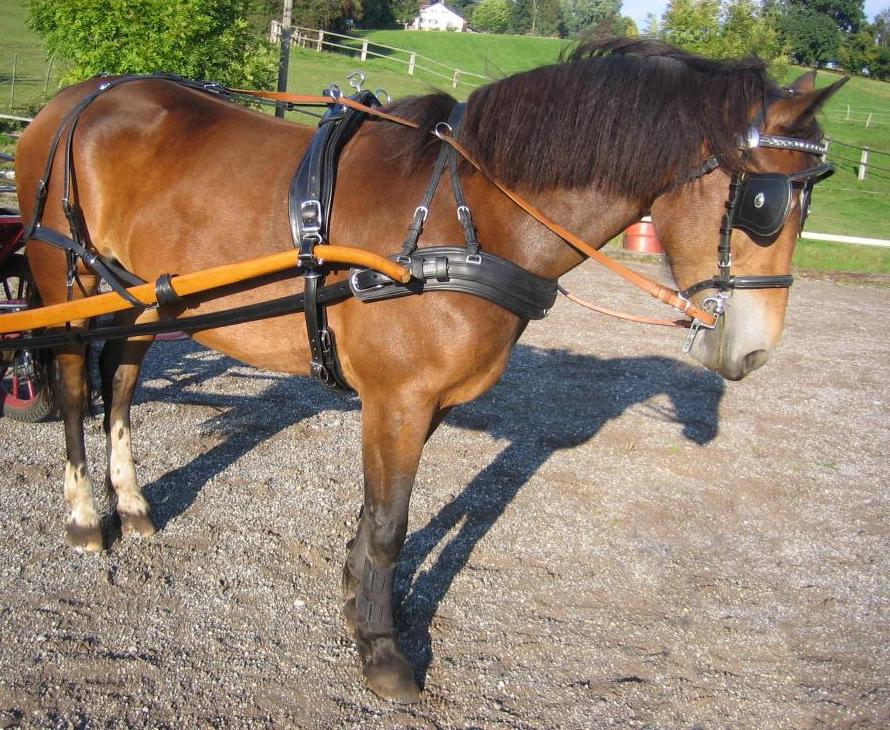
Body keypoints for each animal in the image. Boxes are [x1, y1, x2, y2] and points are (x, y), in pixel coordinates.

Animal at [15, 39, 845, 702]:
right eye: (765, 201)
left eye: (810, 201)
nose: (753, 350)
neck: (465, 219)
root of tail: (79, 97)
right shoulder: (398, 399)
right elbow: (390, 523)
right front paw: (382, 651)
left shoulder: (427, 400)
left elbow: (381, 517)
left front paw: (358, 599)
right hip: (66, 284)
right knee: (75, 389)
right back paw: (86, 515)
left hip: (144, 297)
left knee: (122, 383)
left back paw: (133, 503)